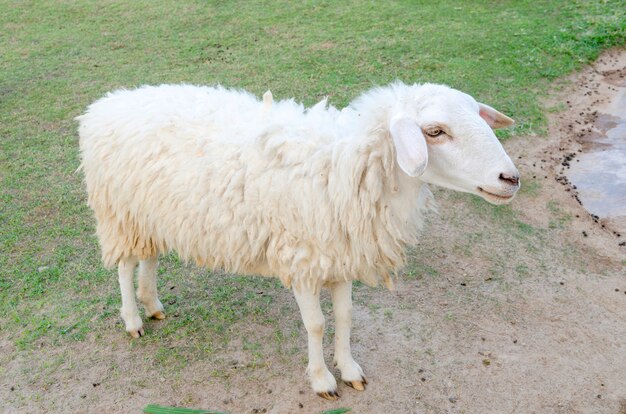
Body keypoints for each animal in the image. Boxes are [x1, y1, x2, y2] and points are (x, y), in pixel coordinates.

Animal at [77, 80, 516, 398]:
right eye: (435, 132)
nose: (510, 179)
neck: (347, 166)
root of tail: (104, 106)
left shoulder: (340, 257)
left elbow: (345, 316)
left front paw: (350, 369)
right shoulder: (304, 260)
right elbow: (317, 324)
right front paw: (322, 380)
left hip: (151, 214)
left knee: (148, 258)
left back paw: (153, 305)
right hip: (119, 212)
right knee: (125, 266)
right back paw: (133, 319)